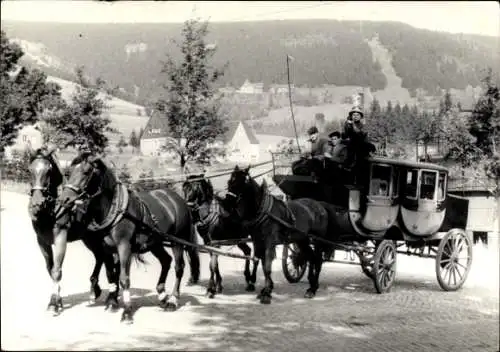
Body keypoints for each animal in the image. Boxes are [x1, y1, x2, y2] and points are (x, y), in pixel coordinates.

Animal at [27, 146, 120, 314]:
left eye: (49, 171)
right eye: (29, 170)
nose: (37, 203)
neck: (50, 211)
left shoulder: (60, 238)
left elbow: (57, 271)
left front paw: (53, 303)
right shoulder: (42, 242)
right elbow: (50, 269)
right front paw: (58, 300)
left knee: (113, 260)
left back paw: (113, 297)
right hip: (90, 238)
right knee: (100, 257)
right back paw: (95, 289)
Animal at [50, 153, 199, 324]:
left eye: (86, 172)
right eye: (68, 173)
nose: (65, 200)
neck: (114, 208)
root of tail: (177, 199)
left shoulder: (124, 246)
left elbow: (123, 278)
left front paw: (127, 311)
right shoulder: (106, 248)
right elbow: (111, 274)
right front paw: (112, 302)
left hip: (177, 240)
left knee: (179, 267)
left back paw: (173, 299)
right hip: (155, 242)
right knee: (166, 261)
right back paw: (162, 296)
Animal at [226, 166, 332, 304]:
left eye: (240, 183)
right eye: (229, 182)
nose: (227, 204)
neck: (264, 209)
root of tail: (320, 205)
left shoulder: (269, 242)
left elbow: (267, 266)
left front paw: (266, 293)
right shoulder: (257, 241)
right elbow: (260, 262)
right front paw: (264, 288)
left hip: (318, 240)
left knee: (317, 260)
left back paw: (313, 289)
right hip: (302, 240)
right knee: (310, 257)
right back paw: (311, 285)